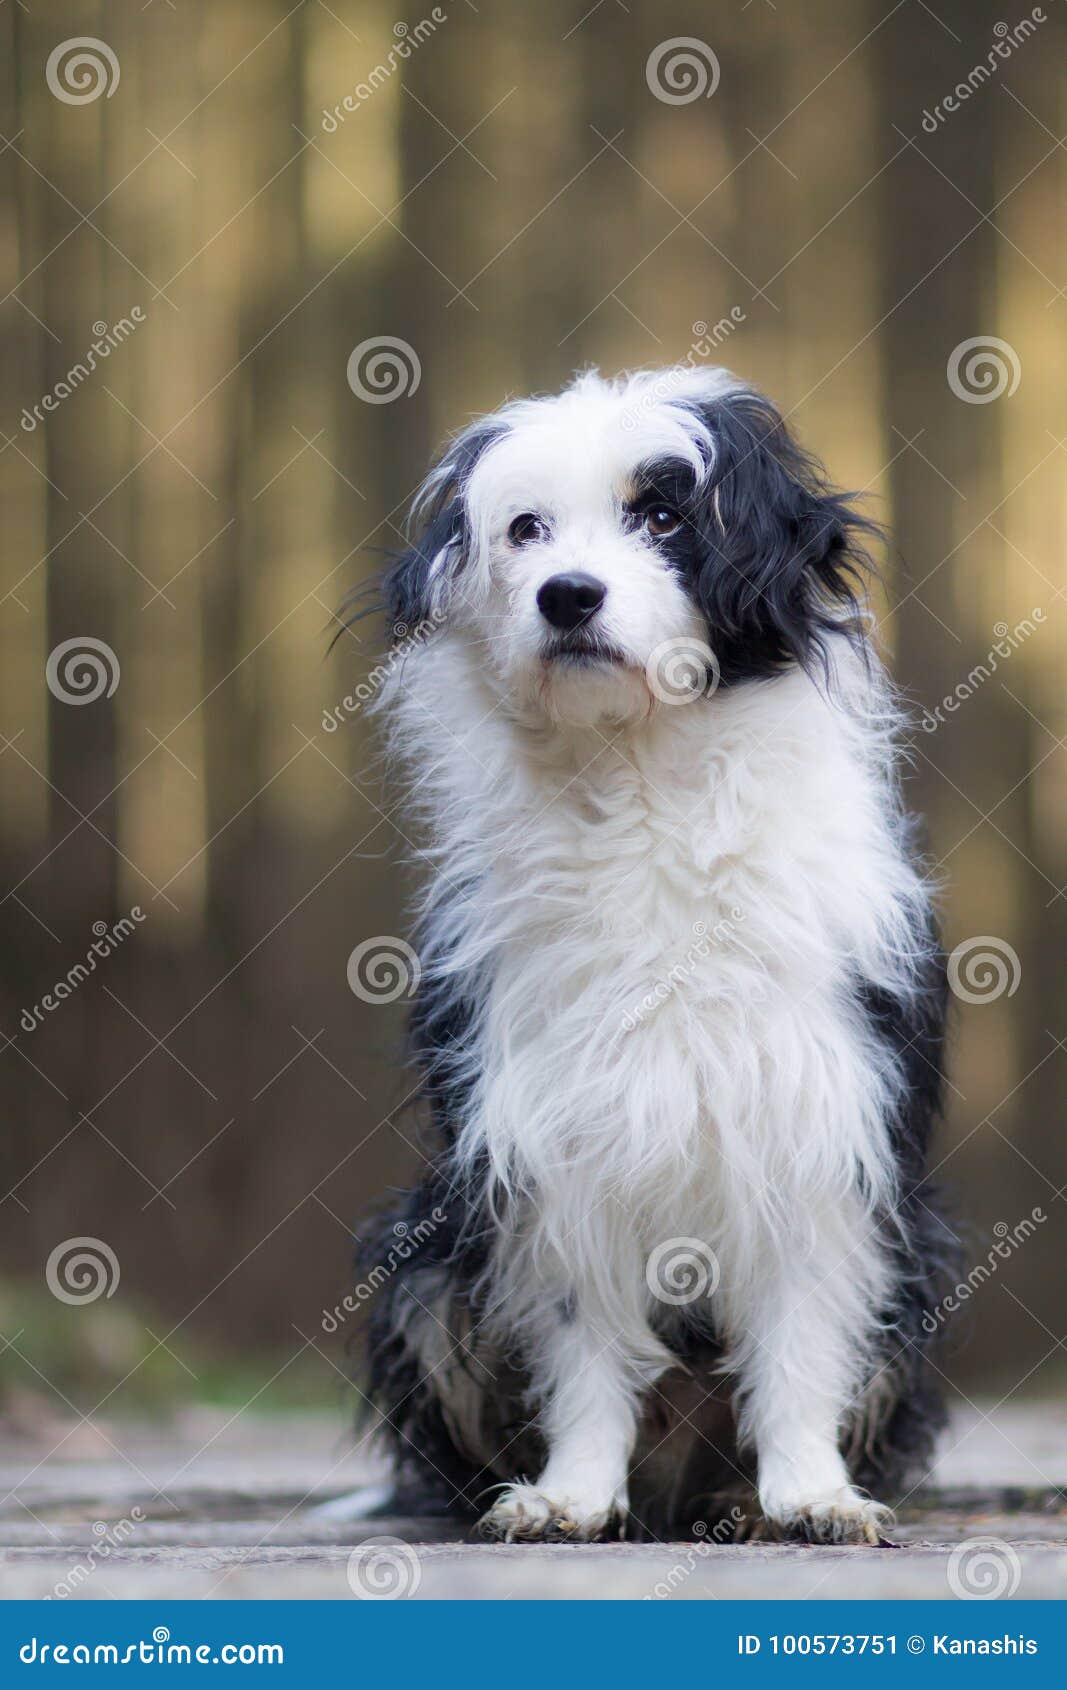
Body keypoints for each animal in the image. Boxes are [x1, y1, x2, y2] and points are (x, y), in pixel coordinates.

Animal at [338, 366, 953, 1548]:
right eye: (525, 529)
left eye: (664, 517)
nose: (566, 596)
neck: (639, 776)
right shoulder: (550, 1139)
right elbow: (582, 1346)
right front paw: (571, 1495)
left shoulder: (816, 1122)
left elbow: (800, 1340)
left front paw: (808, 1494)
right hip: (422, 1260)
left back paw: (740, 1499)